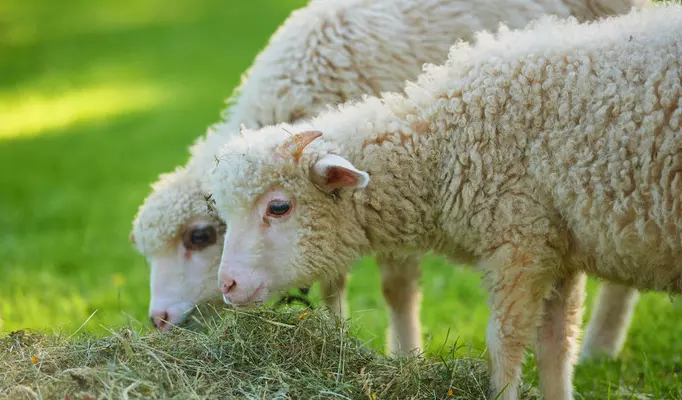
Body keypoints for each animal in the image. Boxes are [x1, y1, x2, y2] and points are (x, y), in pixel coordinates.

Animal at [210, 3, 680, 400]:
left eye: (279, 207)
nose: (228, 284)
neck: (444, 145)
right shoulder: (557, 244)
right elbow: (555, 346)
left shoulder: (520, 238)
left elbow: (506, 341)